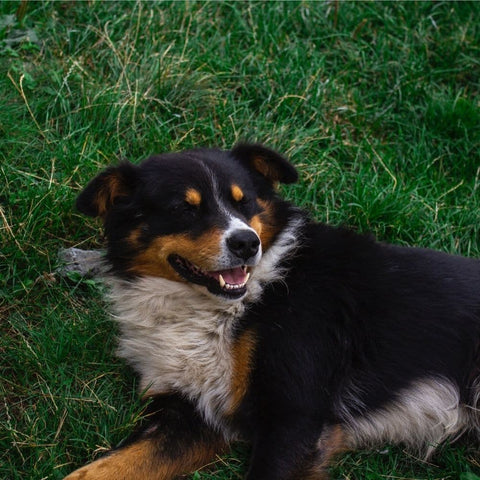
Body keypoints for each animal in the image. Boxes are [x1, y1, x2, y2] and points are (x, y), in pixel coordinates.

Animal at [65, 144, 480, 478]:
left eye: (244, 201)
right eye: (183, 208)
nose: (247, 243)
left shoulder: (295, 413)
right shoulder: (192, 415)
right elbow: (98, 469)